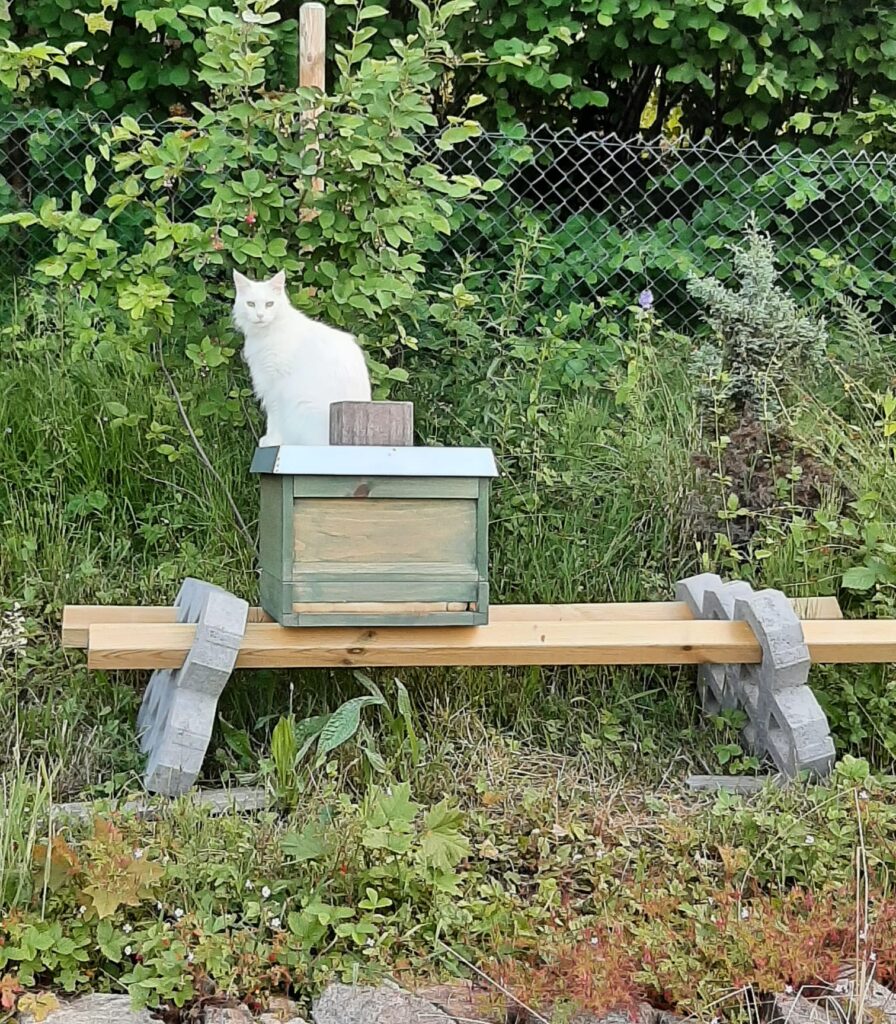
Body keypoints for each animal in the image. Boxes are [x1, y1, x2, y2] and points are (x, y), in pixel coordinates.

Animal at [234, 270, 370, 446]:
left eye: (269, 304)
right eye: (250, 304)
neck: (266, 333)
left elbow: (274, 415)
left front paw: (272, 440)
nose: (260, 315)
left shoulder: (275, 384)